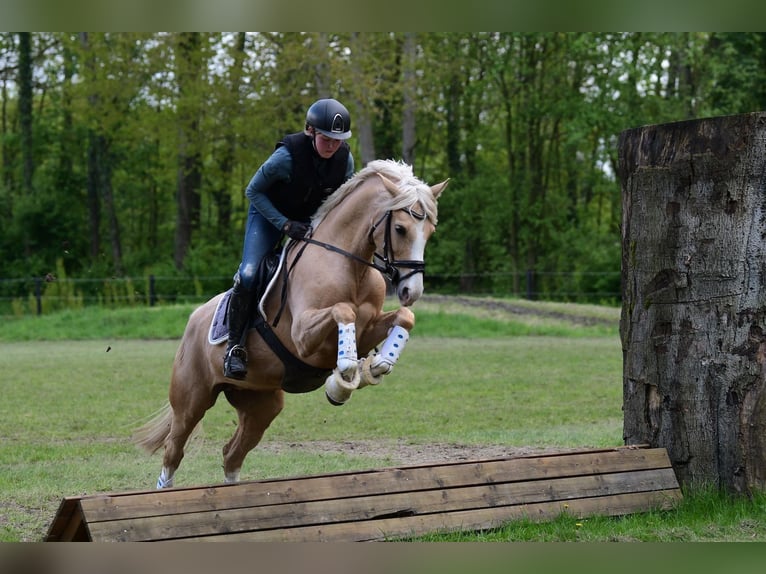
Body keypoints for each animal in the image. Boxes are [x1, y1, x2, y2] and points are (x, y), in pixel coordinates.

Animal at [134, 161, 448, 490]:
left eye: (430, 231)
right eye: (400, 229)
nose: (411, 291)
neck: (351, 266)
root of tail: (193, 320)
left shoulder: (368, 328)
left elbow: (404, 317)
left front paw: (378, 364)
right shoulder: (303, 337)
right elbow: (344, 310)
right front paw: (345, 373)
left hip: (261, 402)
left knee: (232, 453)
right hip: (192, 400)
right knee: (174, 449)